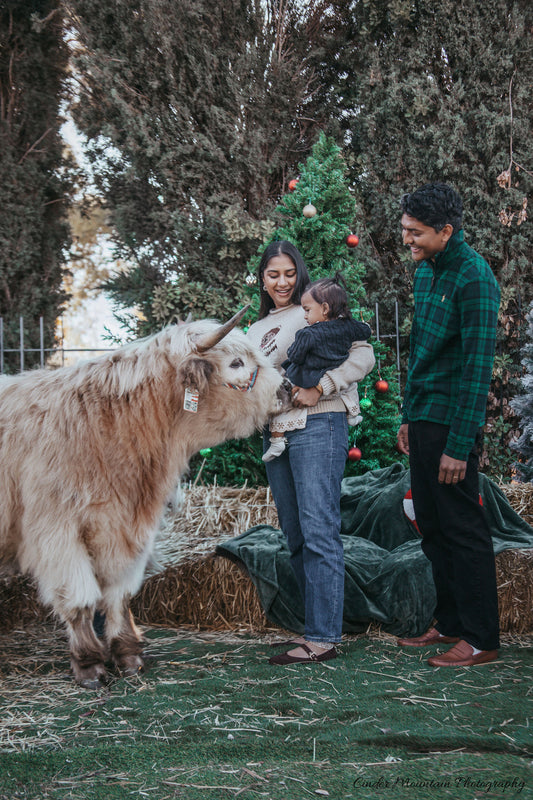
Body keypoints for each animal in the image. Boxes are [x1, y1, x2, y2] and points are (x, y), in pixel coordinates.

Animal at [0, 307, 284, 688]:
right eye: (237, 362)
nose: (287, 389)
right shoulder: (56, 532)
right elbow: (80, 597)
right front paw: (89, 663)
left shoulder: (124, 530)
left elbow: (118, 595)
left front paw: (127, 653)